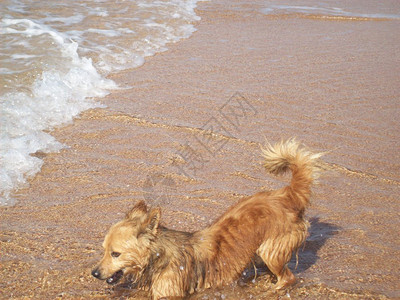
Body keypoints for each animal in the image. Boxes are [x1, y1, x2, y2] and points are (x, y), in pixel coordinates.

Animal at [91, 139, 322, 298]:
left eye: (115, 254)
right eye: (103, 250)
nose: (94, 273)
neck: (158, 257)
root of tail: (287, 194)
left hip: (271, 251)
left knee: (288, 278)